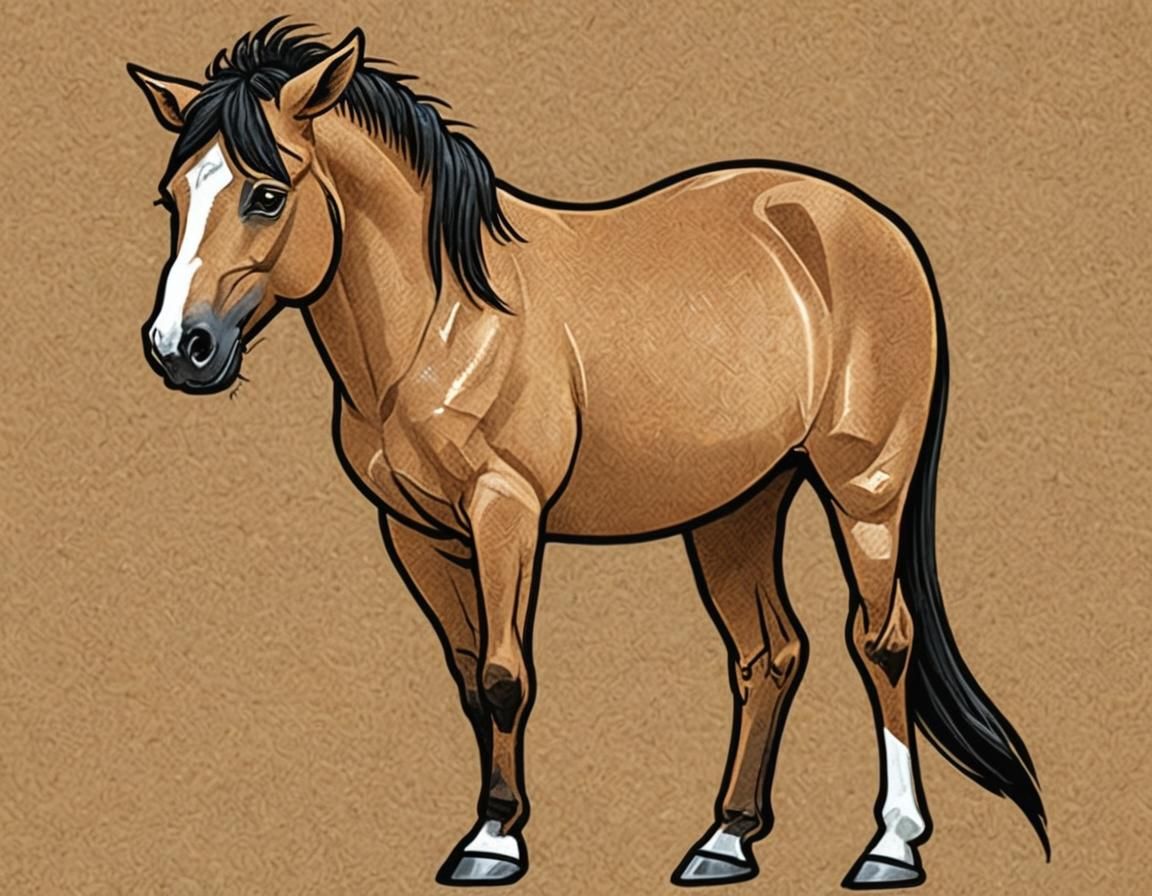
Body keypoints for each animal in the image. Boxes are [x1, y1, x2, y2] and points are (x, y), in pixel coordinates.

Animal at [127, 19, 1048, 889]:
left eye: (267, 194)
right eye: (173, 197)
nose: (180, 348)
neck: (447, 316)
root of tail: (872, 226)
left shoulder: (505, 509)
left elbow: (505, 674)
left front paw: (495, 842)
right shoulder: (417, 532)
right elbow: (470, 675)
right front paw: (489, 820)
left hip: (866, 490)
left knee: (883, 641)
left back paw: (892, 845)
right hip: (738, 505)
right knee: (770, 653)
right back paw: (725, 841)